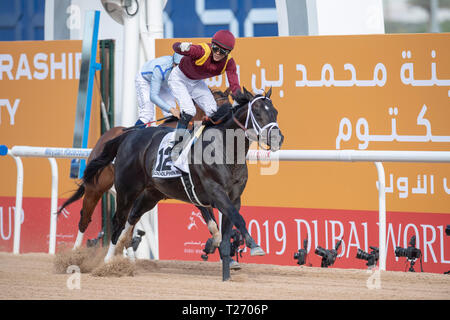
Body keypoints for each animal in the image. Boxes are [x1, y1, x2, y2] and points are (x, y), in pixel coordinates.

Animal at [82, 87, 284, 280]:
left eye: (275, 112)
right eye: (257, 113)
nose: (277, 138)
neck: (224, 150)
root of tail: (128, 135)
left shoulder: (233, 198)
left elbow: (228, 231)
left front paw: (227, 273)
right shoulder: (216, 193)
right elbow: (237, 219)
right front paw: (254, 245)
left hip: (151, 194)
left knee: (132, 217)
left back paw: (123, 247)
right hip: (126, 190)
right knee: (116, 221)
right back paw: (107, 263)